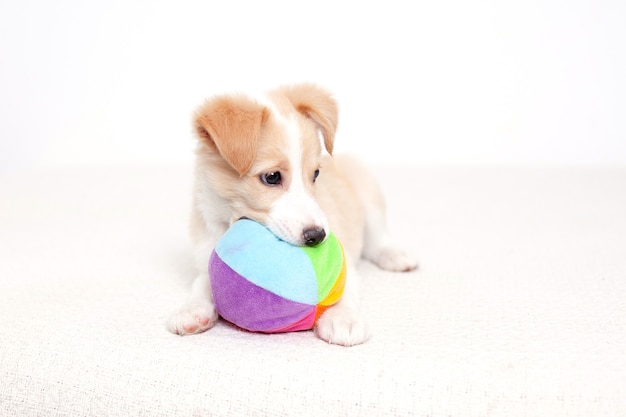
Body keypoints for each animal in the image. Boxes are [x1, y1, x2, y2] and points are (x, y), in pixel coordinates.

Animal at [168, 82, 416, 344]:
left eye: (316, 174)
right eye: (272, 177)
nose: (317, 236)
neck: (229, 224)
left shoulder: (345, 256)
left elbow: (344, 285)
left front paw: (343, 318)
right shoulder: (205, 251)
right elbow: (202, 281)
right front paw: (192, 309)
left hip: (367, 188)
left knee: (378, 238)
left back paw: (395, 255)